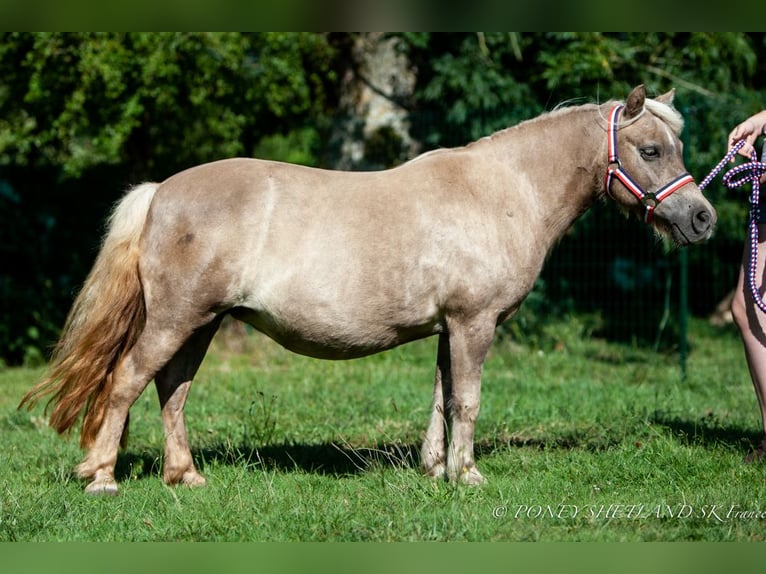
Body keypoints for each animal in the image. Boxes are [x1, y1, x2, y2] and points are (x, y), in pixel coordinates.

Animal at [22, 84, 720, 496]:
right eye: (651, 149)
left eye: (677, 145)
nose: (702, 218)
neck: (502, 192)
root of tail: (161, 191)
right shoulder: (474, 323)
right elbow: (468, 401)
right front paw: (468, 475)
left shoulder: (448, 328)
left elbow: (441, 399)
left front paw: (435, 469)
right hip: (175, 320)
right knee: (127, 382)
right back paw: (103, 479)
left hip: (202, 323)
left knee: (172, 391)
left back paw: (185, 476)